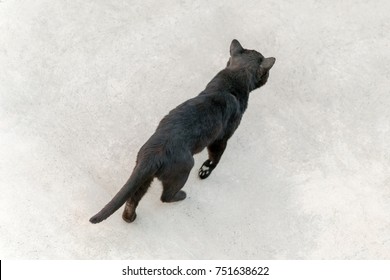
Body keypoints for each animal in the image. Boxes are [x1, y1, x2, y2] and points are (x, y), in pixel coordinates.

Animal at [90, 40, 276, 223]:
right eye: (266, 73)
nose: (268, 78)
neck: (233, 79)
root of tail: (152, 155)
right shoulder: (221, 138)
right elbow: (215, 157)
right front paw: (205, 171)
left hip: (145, 177)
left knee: (133, 199)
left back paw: (130, 217)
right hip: (183, 169)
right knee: (165, 196)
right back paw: (182, 195)